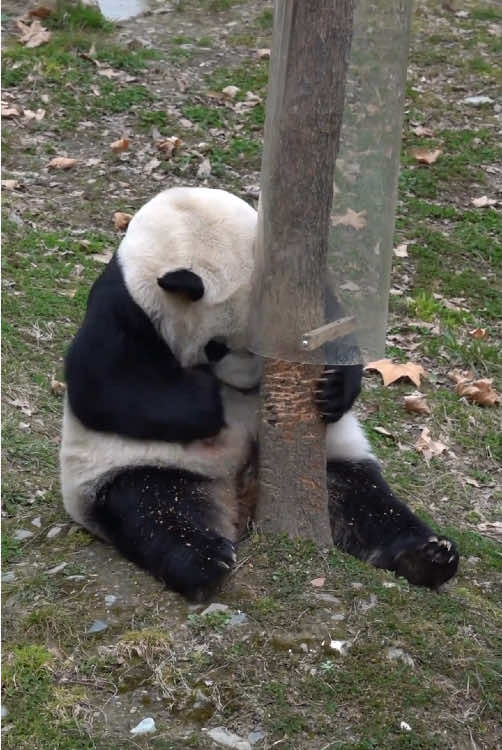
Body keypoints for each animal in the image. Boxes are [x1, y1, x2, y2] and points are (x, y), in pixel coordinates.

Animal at [60, 186, 459, 600]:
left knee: (365, 502)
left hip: (330, 460)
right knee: (155, 509)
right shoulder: (125, 306)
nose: (250, 383)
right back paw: (203, 561)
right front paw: (209, 402)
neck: (186, 221)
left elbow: (335, 326)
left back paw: (429, 556)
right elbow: (104, 388)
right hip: (141, 467)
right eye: (215, 347)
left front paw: (333, 389)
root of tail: (242, 500)